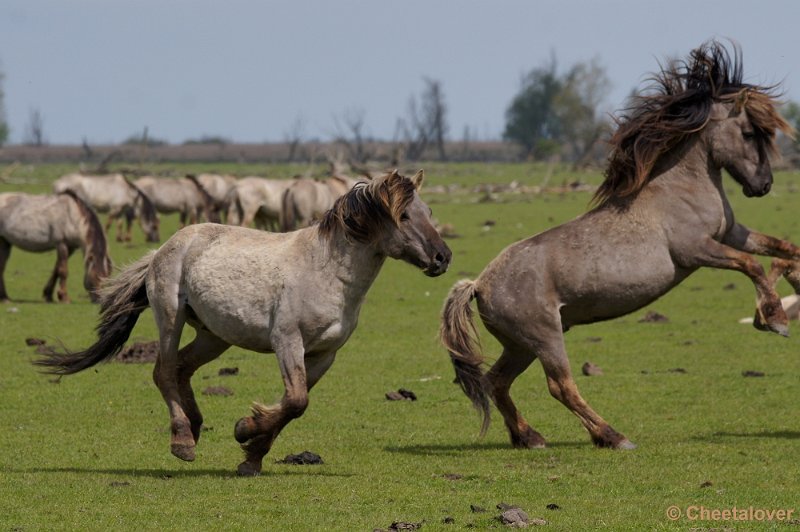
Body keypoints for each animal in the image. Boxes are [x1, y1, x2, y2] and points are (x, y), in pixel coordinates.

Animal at [36, 169, 450, 474]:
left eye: (431, 213)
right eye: (404, 216)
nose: (442, 257)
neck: (327, 272)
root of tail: (165, 248)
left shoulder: (324, 354)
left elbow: (294, 404)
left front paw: (251, 454)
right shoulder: (287, 340)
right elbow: (296, 400)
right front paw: (246, 431)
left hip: (215, 336)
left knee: (182, 368)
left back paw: (196, 425)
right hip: (170, 318)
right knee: (164, 371)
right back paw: (182, 440)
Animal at [440, 39, 796, 450]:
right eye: (750, 133)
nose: (763, 185)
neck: (681, 189)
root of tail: (479, 285)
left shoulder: (732, 234)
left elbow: (783, 248)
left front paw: (788, 287)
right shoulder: (697, 250)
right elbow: (750, 264)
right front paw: (774, 319)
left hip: (519, 346)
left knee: (496, 381)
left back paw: (529, 436)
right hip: (545, 338)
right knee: (560, 386)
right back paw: (612, 436)